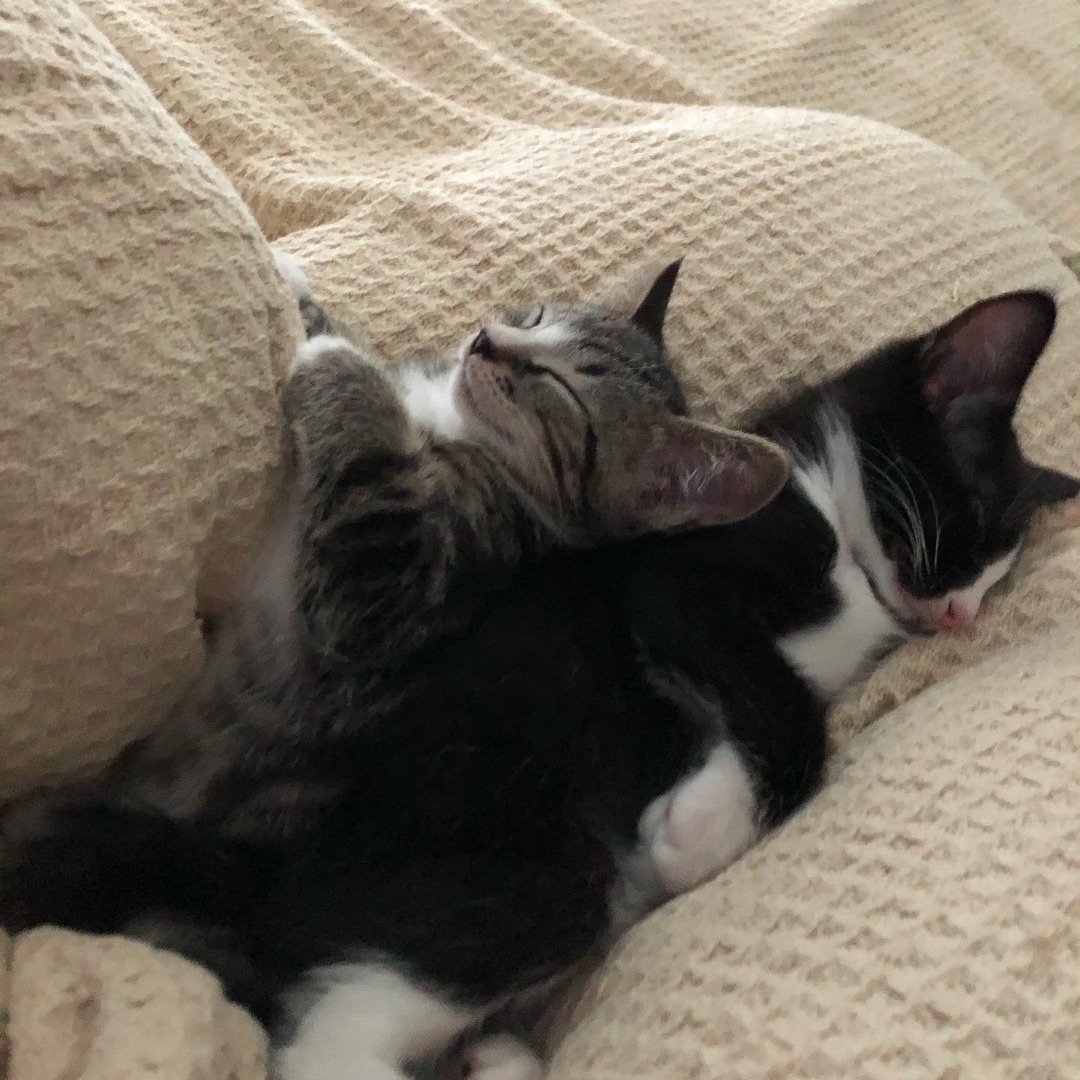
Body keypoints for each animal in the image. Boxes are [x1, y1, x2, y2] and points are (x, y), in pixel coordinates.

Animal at [3, 285, 1075, 1080]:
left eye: (1004, 570)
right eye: (977, 520)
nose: (966, 611)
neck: (826, 502)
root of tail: (261, 866)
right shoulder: (681, 579)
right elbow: (783, 709)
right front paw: (698, 835)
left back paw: (497, 1058)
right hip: (534, 871)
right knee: (326, 1039)